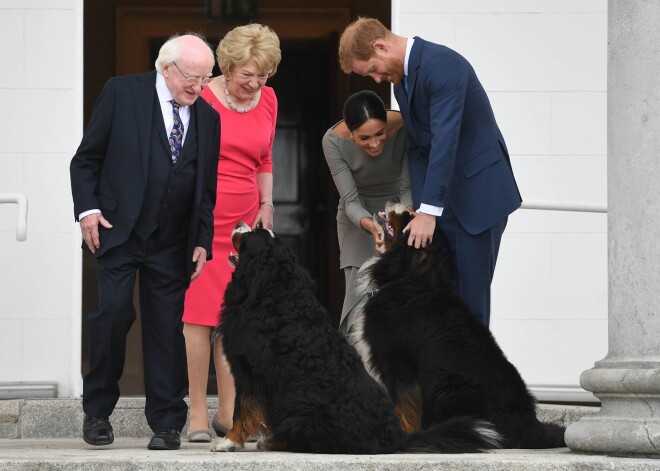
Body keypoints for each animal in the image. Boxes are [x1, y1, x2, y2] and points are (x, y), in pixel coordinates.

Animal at [209, 223, 502, 456]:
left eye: (252, 233)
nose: (239, 223)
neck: (273, 293)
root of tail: (396, 439)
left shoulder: (249, 370)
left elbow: (241, 409)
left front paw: (228, 442)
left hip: (300, 406)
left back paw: (272, 441)